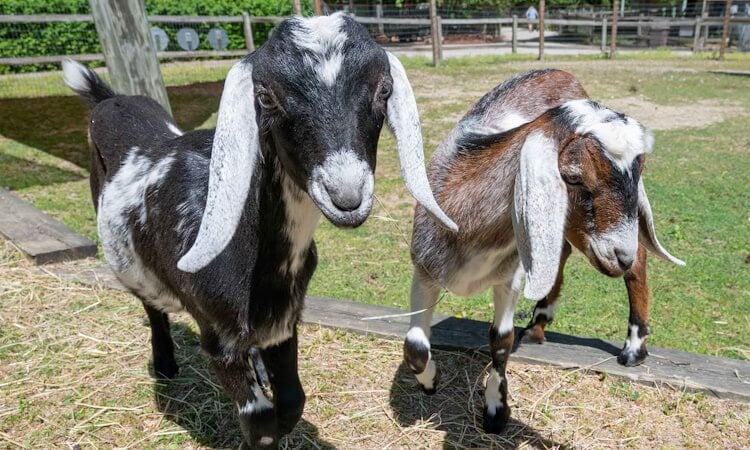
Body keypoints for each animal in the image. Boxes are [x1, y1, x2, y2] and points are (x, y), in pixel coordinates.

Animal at [63, 12, 456, 448]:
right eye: (266, 97)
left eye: (383, 89)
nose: (347, 196)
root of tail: (109, 99)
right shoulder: (217, 339)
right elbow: (260, 420)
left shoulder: (284, 323)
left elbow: (293, 400)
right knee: (151, 304)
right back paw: (164, 365)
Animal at [403, 69, 684, 433]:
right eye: (574, 176)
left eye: (639, 172)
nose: (620, 256)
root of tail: (562, 73)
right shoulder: (424, 271)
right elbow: (415, 347)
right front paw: (430, 382)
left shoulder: (510, 278)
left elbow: (501, 340)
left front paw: (495, 409)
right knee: (561, 252)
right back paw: (539, 322)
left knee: (637, 262)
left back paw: (634, 348)